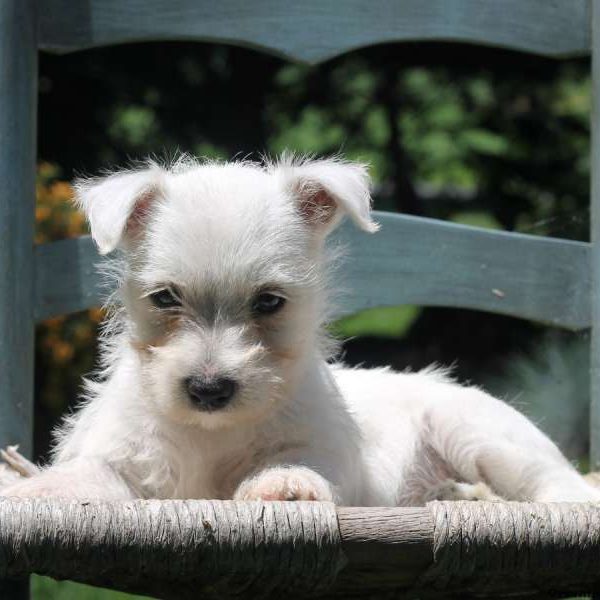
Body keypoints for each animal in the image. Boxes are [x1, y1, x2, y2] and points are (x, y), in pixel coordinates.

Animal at [2, 157, 596, 504]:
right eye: (165, 298)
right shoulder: (119, 458)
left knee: (559, 487)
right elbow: (83, 476)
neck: (210, 436)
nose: (209, 390)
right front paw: (32, 490)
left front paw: (282, 483)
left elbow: (299, 462)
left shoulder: (326, 450)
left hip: (481, 434)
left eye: (269, 302)